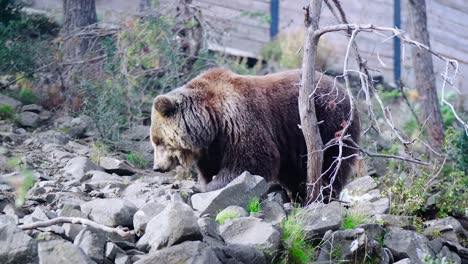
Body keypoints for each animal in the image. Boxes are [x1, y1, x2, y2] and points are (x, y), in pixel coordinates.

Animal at [150, 67, 358, 200]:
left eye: (159, 142)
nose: (157, 167)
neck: (211, 121)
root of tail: (345, 90)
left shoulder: (238, 122)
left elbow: (252, 161)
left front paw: (208, 187)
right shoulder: (214, 146)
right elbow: (211, 169)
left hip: (331, 124)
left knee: (332, 164)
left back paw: (324, 194)